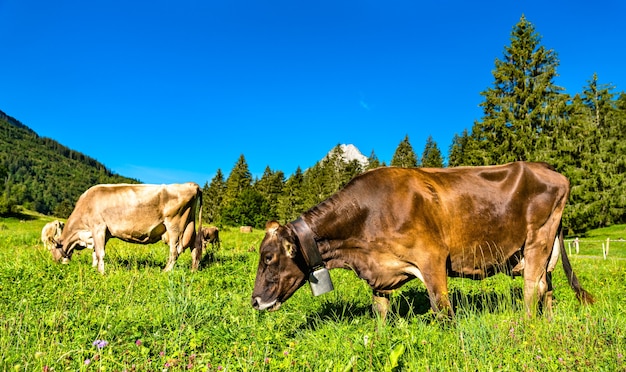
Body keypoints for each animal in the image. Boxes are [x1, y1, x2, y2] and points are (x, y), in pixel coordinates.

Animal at [53, 183, 202, 274]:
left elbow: (100, 253)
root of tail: (191, 184)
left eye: (52, 248)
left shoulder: (98, 227)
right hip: (190, 226)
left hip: (175, 226)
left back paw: (165, 271)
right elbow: (95, 252)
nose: (54, 262)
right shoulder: (104, 233)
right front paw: (94, 267)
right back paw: (193, 270)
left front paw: (101, 273)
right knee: (195, 248)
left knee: (175, 251)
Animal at [251, 161, 592, 318]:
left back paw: (525, 325)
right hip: (544, 251)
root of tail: (544, 167)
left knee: (532, 287)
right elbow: (380, 312)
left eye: (268, 257)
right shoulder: (380, 271)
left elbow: (442, 311)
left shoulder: (432, 259)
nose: (255, 301)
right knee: (547, 288)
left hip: (537, 241)